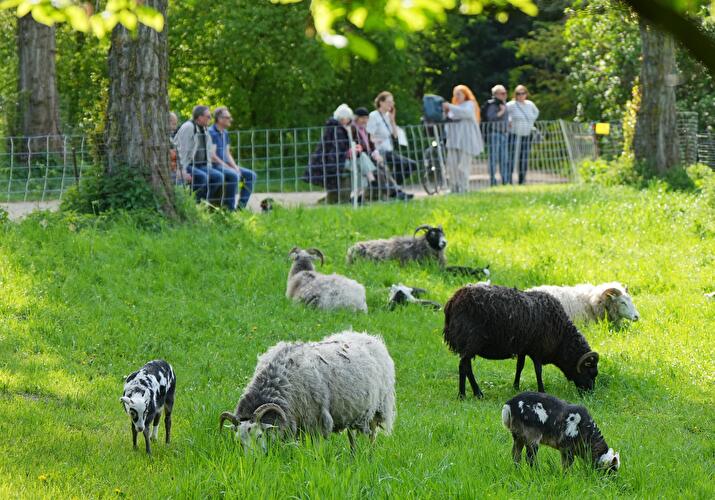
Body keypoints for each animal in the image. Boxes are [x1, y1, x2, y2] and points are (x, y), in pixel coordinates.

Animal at [219, 331, 396, 452]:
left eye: (259, 435)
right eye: (238, 440)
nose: (252, 461)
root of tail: (370, 337)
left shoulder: (315, 421)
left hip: (376, 409)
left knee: (372, 435)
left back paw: (370, 455)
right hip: (352, 410)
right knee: (351, 437)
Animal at [443, 285, 600, 399]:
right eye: (590, 373)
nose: (590, 395)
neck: (562, 338)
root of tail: (452, 301)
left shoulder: (523, 348)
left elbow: (520, 366)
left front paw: (516, 386)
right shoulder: (538, 349)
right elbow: (538, 371)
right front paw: (542, 390)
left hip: (467, 344)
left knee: (466, 366)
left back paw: (474, 393)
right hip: (471, 341)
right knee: (463, 366)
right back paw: (465, 394)